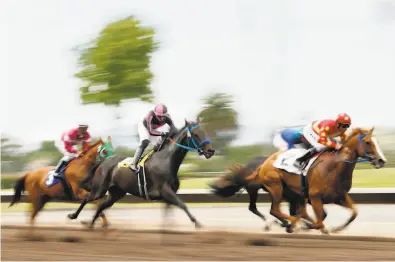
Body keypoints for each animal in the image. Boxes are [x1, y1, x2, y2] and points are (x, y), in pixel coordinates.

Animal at [83, 118, 213, 229]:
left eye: (205, 131)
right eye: (195, 134)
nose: (211, 151)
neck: (166, 160)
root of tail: (103, 162)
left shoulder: (169, 195)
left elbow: (168, 211)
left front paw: (166, 228)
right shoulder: (165, 191)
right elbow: (182, 205)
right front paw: (196, 222)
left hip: (116, 193)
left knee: (101, 206)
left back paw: (91, 224)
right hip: (99, 189)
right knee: (86, 198)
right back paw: (80, 218)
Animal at [210, 127, 386, 233]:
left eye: (377, 141)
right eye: (368, 142)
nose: (381, 161)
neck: (334, 167)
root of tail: (263, 165)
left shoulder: (339, 196)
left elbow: (353, 213)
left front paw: (335, 229)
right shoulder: (315, 197)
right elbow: (319, 219)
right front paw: (307, 226)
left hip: (291, 193)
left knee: (288, 211)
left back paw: (290, 223)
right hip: (275, 188)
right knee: (274, 210)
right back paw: (287, 223)